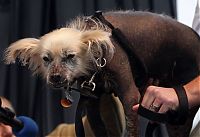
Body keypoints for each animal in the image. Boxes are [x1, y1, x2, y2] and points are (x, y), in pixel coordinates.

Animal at [3, 11, 200, 137]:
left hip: (180, 113)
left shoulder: (130, 98)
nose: (55, 77)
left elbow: (131, 129)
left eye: (70, 56)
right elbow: (99, 129)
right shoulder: (91, 102)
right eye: (46, 59)